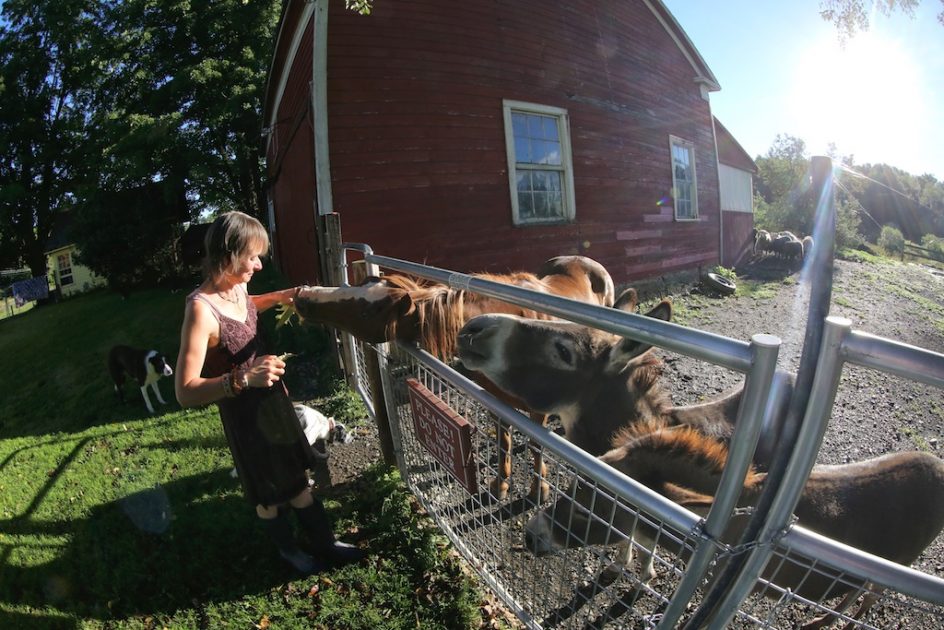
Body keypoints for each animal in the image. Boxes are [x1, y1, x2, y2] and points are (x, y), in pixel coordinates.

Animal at [296, 254, 620, 502]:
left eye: (367, 311)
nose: (303, 295)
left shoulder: (536, 411)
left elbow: (538, 447)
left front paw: (538, 489)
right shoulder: (497, 403)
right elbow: (503, 440)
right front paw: (501, 484)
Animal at [524, 422, 944, 630]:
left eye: (586, 510)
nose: (530, 535)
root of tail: (937, 466)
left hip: (899, 566)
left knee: (868, 596)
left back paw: (825, 620)